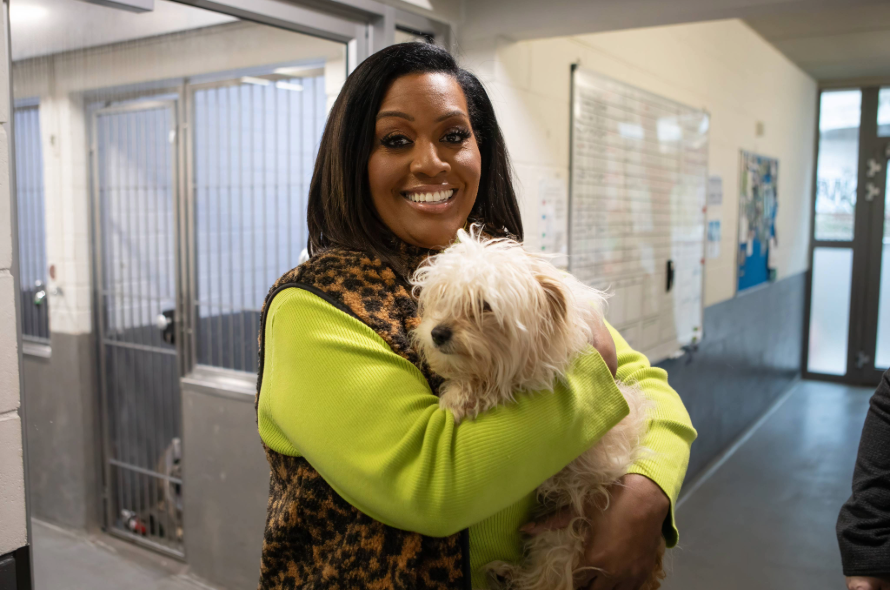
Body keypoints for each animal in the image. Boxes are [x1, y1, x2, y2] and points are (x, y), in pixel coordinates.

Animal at [410, 227, 660, 590]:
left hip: (566, 530)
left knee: (551, 576)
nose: (437, 333)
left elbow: (494, 386)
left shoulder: (536, 375)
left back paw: (507, 573)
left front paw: (458, 396)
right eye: (444, 297)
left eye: (485, 306)